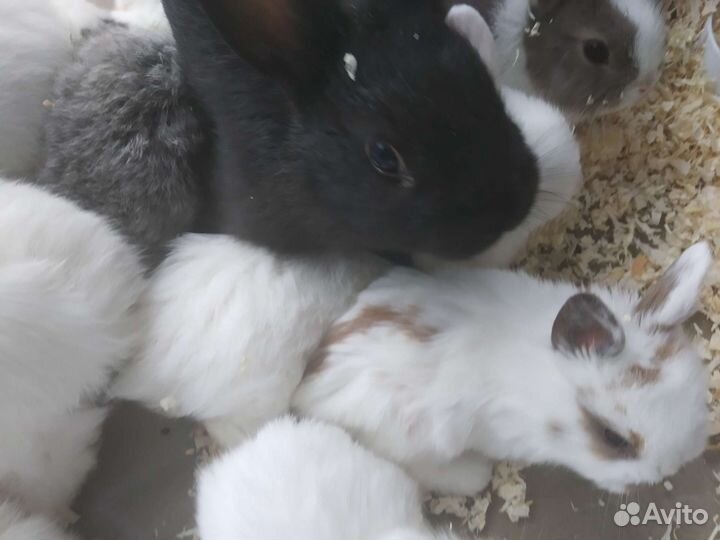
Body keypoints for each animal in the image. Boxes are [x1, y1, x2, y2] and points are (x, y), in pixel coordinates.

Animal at [293, 242, 713, 496]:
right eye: (614, 438)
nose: (668, 469)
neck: (550, 397)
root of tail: (311, 381)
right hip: (415, 436)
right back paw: (474, 475)